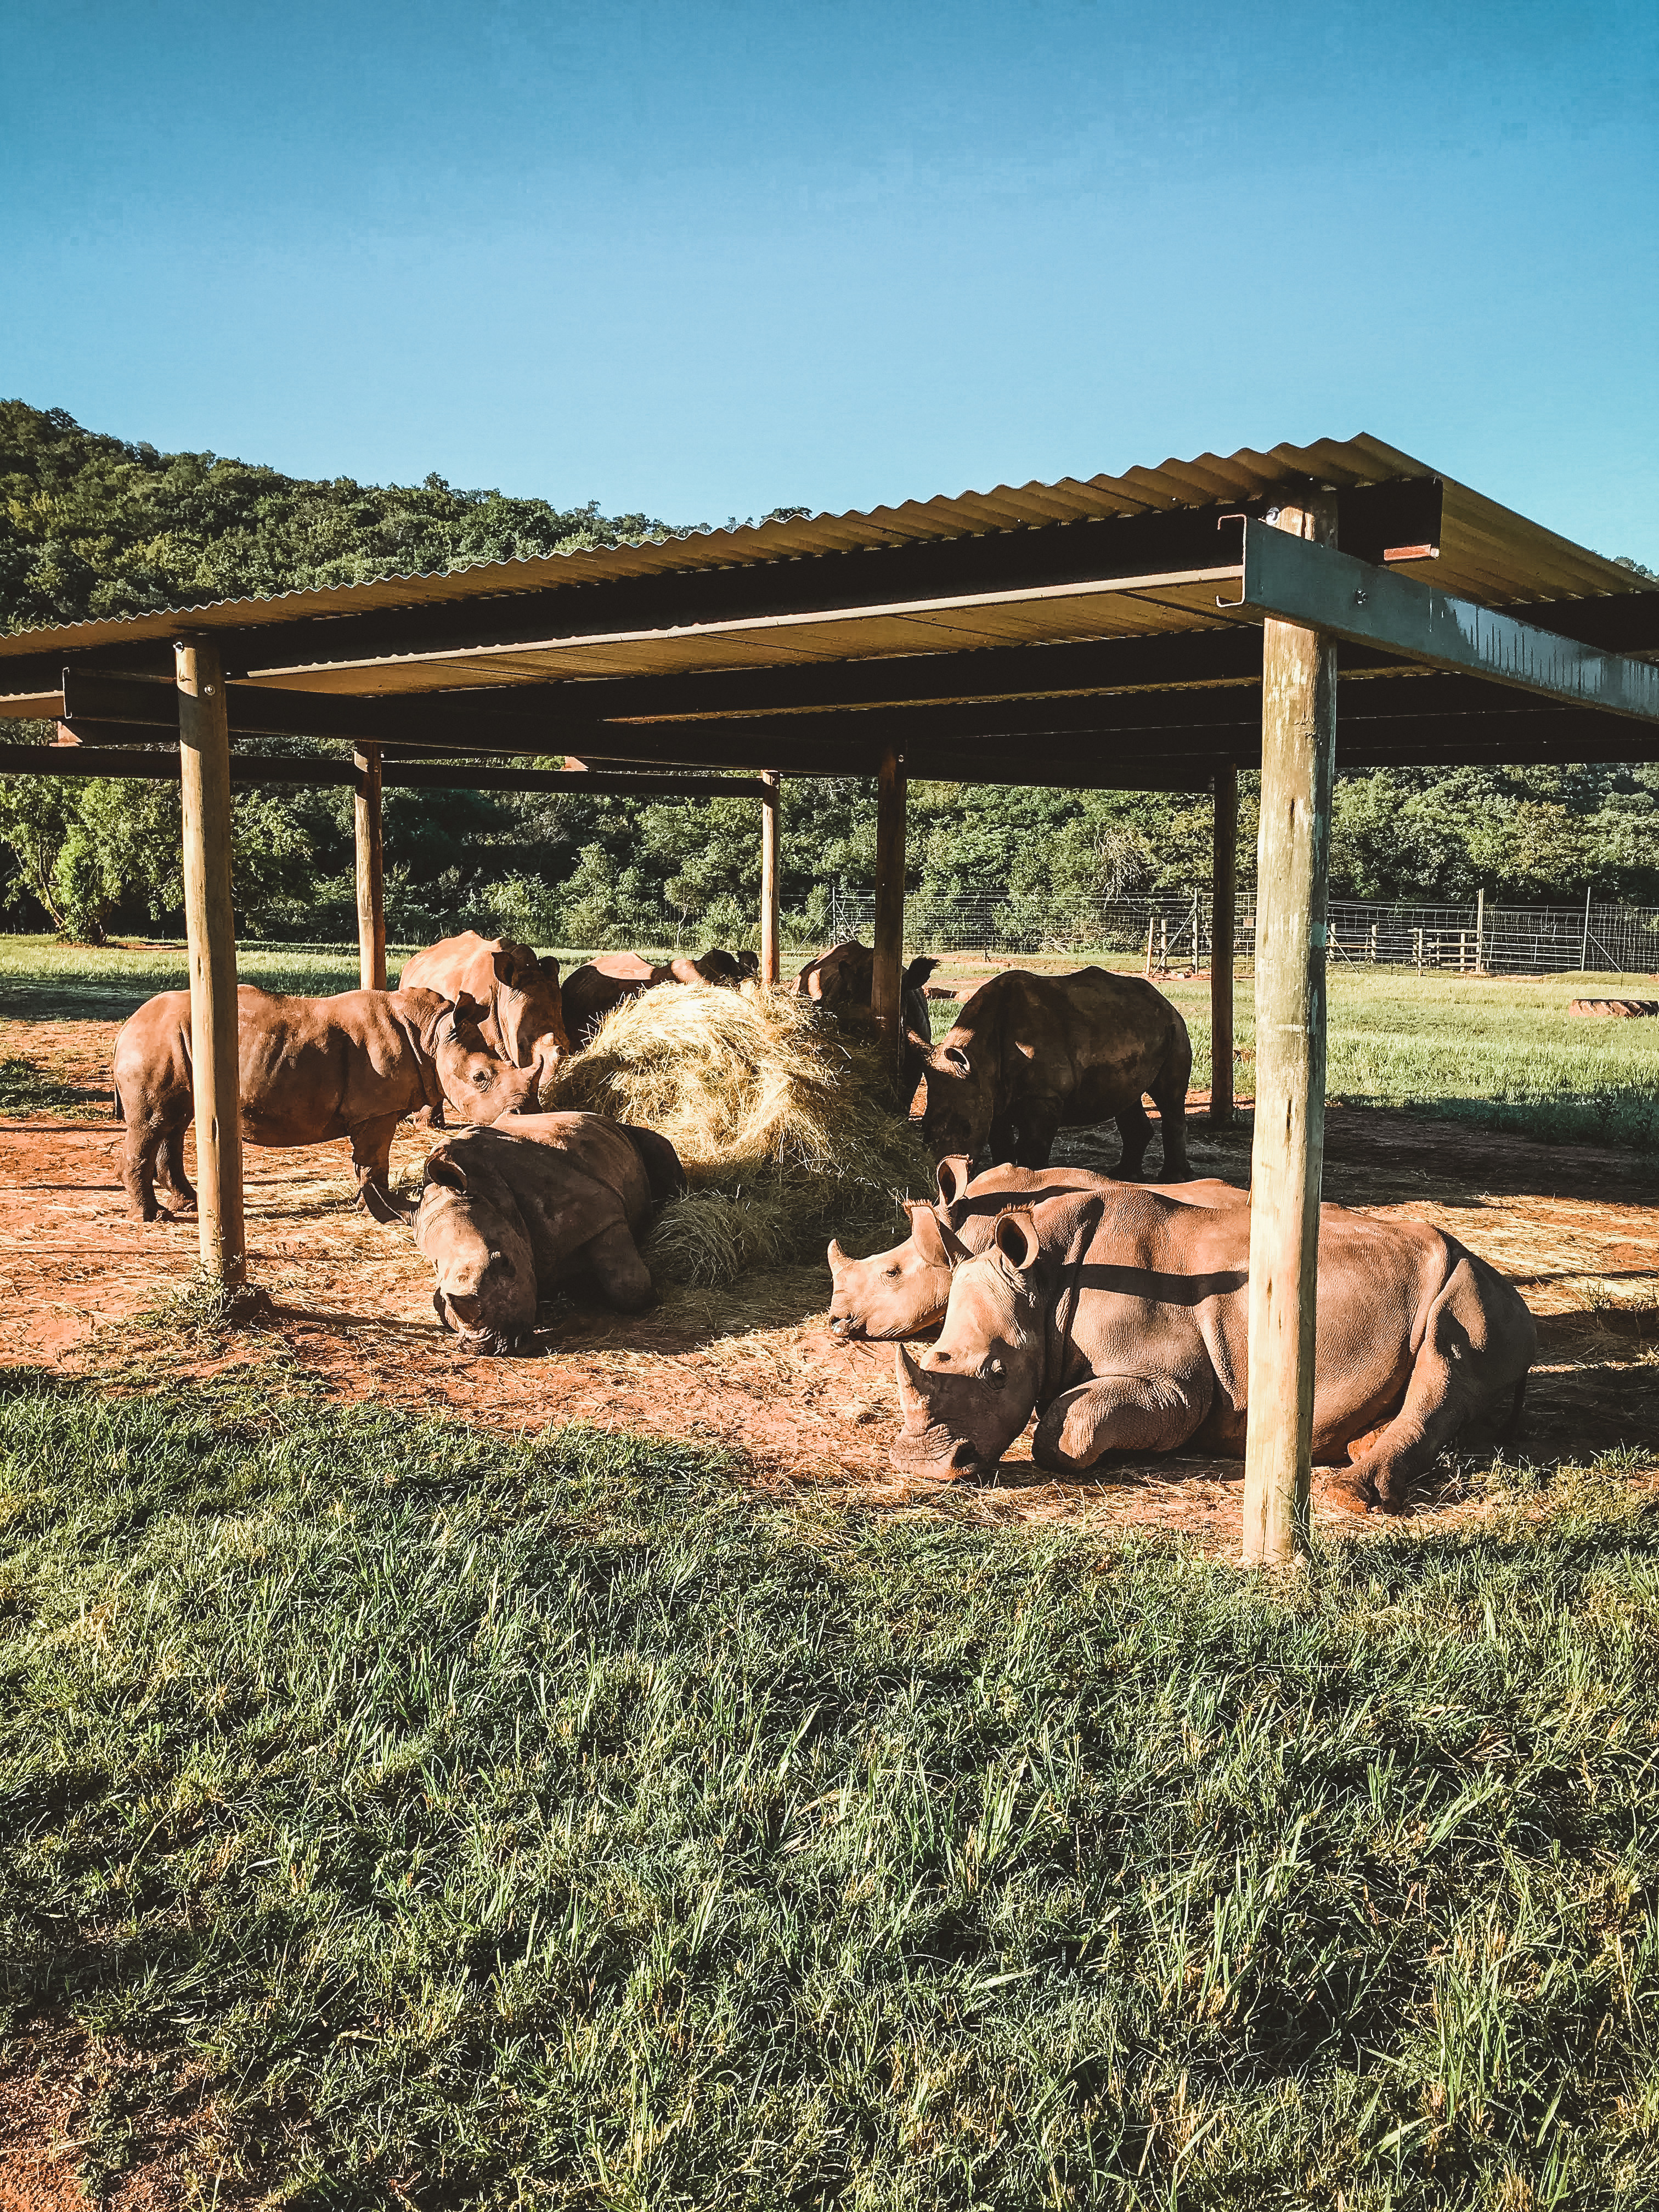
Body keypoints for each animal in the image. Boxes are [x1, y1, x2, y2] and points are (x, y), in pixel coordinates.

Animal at [113, 985, 538, 1224]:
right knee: (153, 1125)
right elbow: (375, 1160)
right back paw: (154, 1218)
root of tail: (127, 1025)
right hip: (155, 1044)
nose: (523, 1115)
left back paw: (189, 1203)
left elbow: (370, 1161)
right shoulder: (376, 1112)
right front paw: (383, 1209)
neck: (432, 1033)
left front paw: (373, 1204)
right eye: (480, 1078)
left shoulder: (375, 1112)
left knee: (175, 1123)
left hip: (173, 1044)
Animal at [415, 1111, 686, 1353]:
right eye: (442, 1292)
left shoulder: (605, 1218)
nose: (488, 1348)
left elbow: (630, 1286)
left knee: (659, 1148)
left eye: (506, 1263)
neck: (491, 1193)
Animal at [890, 1186, 1537, 1513]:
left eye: (998, 1374)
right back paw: (1357, 1443)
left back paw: (1352, 1494)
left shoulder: (1175, 1388)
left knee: (1449, 1358)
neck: (1045, 1282)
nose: (921, 1467)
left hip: (1467, 1286)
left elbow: (1066, 1429)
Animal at [913, 967, 1192, 1177]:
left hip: (1175, 1027)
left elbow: (1032, 1148)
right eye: (922, 1127)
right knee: (1127, 1099)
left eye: (966, 1128)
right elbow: (1001, 1144)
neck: (980, 1056)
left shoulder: (1044, 1096)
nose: (944, 1173)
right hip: (1132, 1028)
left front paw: (1028, 1178)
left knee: (1170, 1100)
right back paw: (1122, 1175)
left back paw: (1172, 1178)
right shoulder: (989, 1093)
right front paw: (1002, 1176)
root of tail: (1162, 999)